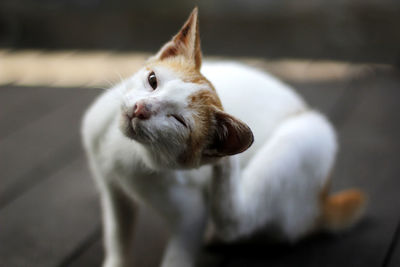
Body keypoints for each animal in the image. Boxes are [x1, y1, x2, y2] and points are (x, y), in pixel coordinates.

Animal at [81, 7, 366, 267]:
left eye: (178, 120)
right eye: (153, 80)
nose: (140, 108)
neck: (129, 151)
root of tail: (322, 200)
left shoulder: (191, 215)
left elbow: (179, 254)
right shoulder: (111, 188)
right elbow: (117, 233)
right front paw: (116, 261)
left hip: (311, 133)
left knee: (236, 222)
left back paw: (225, 167)